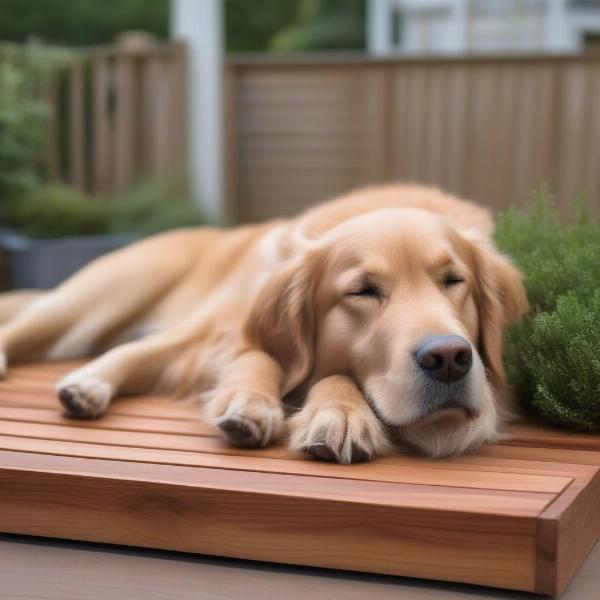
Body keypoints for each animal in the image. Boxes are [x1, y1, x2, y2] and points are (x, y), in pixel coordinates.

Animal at [0, 185, 524, 462]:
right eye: (362, 291)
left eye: (453, 280)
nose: (449, 359)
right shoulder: (232, 329)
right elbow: (262, 358)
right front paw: (254, 404)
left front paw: (336, 411)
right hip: (106, 295)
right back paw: (83, 382)